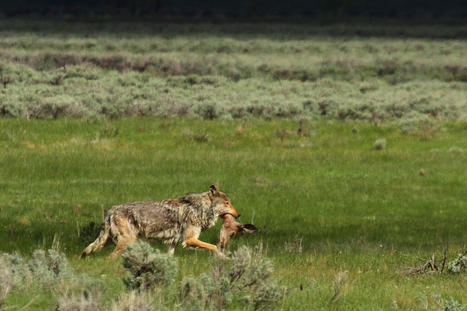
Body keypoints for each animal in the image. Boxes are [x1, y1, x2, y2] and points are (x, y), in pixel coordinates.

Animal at [79, 184, 238, 260]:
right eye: (227, 203)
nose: (238, 215)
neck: (200, 208)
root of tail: (111, 211)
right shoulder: (190, 239)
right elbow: (214, 247)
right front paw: (226, 259)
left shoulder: (174, 242)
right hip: (126, 242)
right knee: (109, 258)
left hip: (114, 242)